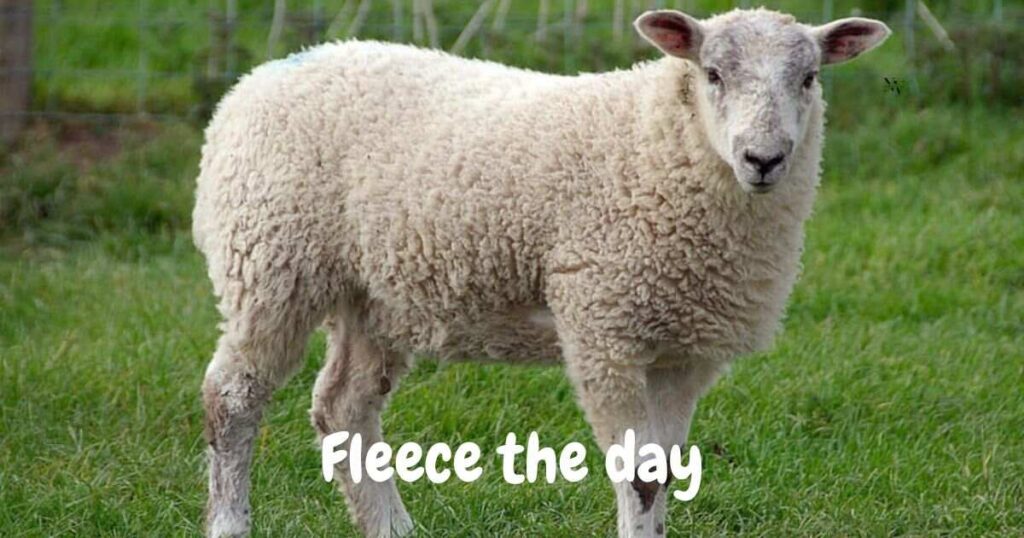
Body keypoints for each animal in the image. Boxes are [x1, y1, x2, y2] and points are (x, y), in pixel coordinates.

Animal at [192, 8, 890, 538]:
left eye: (809, 78)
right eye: (713, 73)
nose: (764, 159)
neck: (658, 144)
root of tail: (255, 80)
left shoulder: (685, 349)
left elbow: (666, 470)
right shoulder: (603, 327)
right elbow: (639, 475)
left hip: (375, 294)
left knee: (343, 408)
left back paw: (390, 528)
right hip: (271, 260)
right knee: (232, 399)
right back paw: (230, 522)